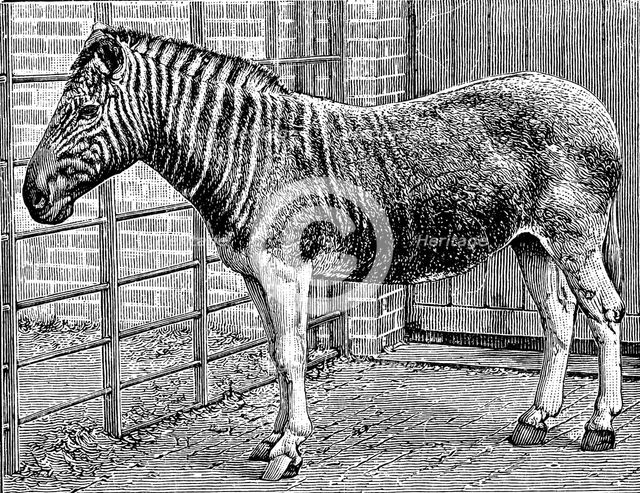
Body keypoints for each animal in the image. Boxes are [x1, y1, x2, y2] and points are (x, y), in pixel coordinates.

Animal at [23, 25, 625, 480]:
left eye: (86, 110)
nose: (31, 197)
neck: (249, 152)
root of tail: (594, 103)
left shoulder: (286, 272)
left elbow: (292, 357)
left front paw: (289, 450)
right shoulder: (255, 278)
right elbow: (276, 355)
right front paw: (271, 440)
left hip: (573, 239)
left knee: (606, 314)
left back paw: (600, 426)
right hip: (531, 244)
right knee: (560, 320)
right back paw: (535, 420)